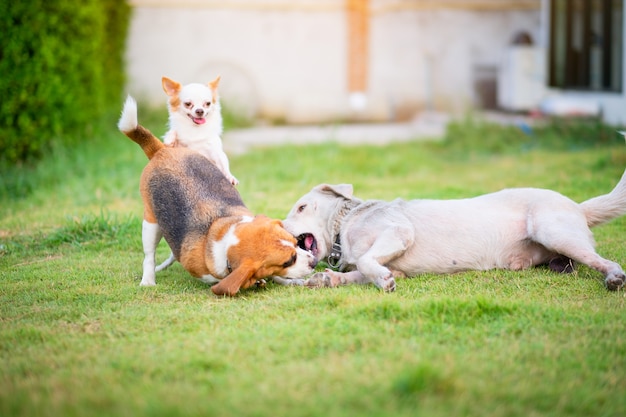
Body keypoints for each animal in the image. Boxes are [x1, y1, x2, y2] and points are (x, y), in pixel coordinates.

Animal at [116, 95, 314, 294]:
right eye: (288, 261)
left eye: (296, 243)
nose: (314, 262)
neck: (225, 239)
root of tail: (161, 150)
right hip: (150, 223)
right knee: (149, 256)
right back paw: (148, 280)